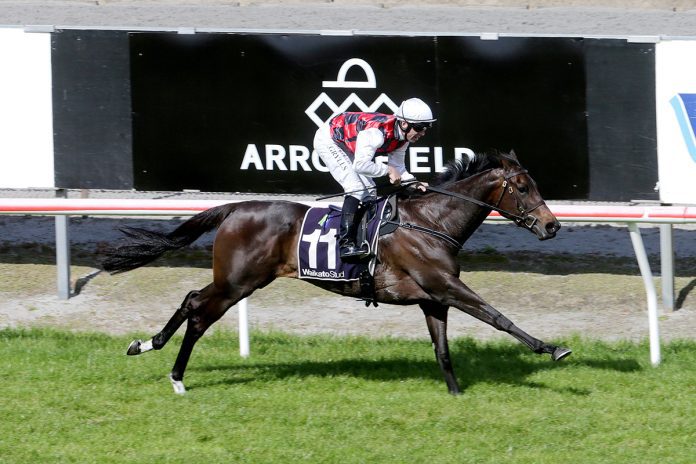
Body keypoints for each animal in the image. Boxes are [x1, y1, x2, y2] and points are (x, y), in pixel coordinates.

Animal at [103, 150, 572, 396]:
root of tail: (235, 207)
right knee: (200, 314)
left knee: (191, 300)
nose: (552, 225)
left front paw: (457, 395)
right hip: (239, 281)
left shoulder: (433, 298)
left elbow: (443, 349)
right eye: (524, 187)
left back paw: (145, 344)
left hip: (234, 279)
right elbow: (496, 316)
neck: (429, 221)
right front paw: (552, 349)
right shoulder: (446, 285)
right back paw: (177, 377)